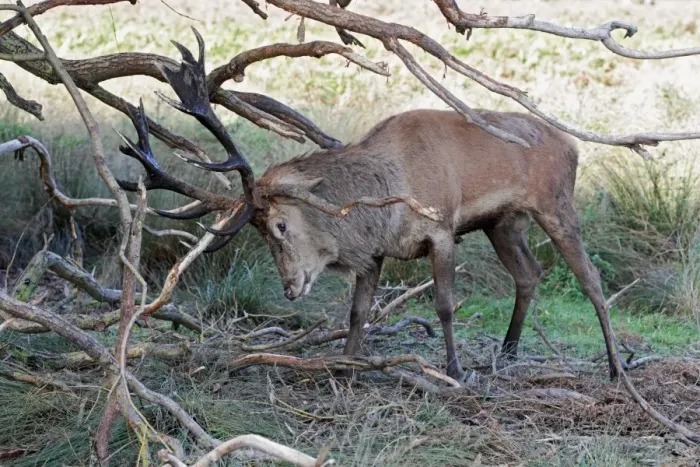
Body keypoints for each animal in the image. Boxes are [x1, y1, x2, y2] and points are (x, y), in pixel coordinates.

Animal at [116, 30, 626, 382]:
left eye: (279, 225)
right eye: (259, 231)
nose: (290, 287)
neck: (385, 203)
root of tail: (572, 146)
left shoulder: (441, 229)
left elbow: (445, 304)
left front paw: (455, 369)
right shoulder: (376, 251)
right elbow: (357, 312)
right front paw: (348, 364)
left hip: (556, 203)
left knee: (592, 279)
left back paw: (616, 367)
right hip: (502, 224)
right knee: (530, 273)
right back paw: (508, 351)